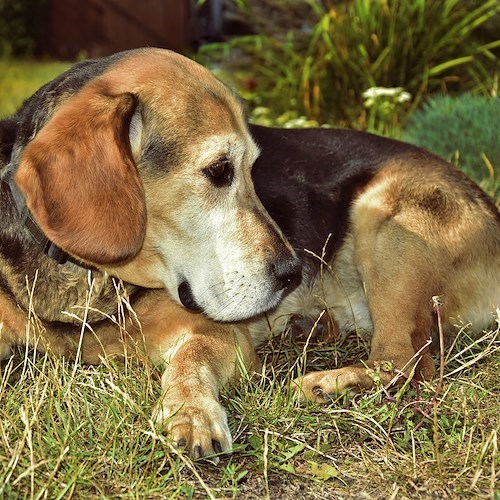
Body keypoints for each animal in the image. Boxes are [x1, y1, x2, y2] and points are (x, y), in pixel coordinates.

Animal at [0, 47, 500, 460]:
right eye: (220, 170)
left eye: (254, 169)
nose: (292, 274)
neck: (83, 275)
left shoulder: (216, 333)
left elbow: (189, 361)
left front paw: (189, 413)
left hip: (386, 224)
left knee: (406, 363)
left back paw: (329, 382)